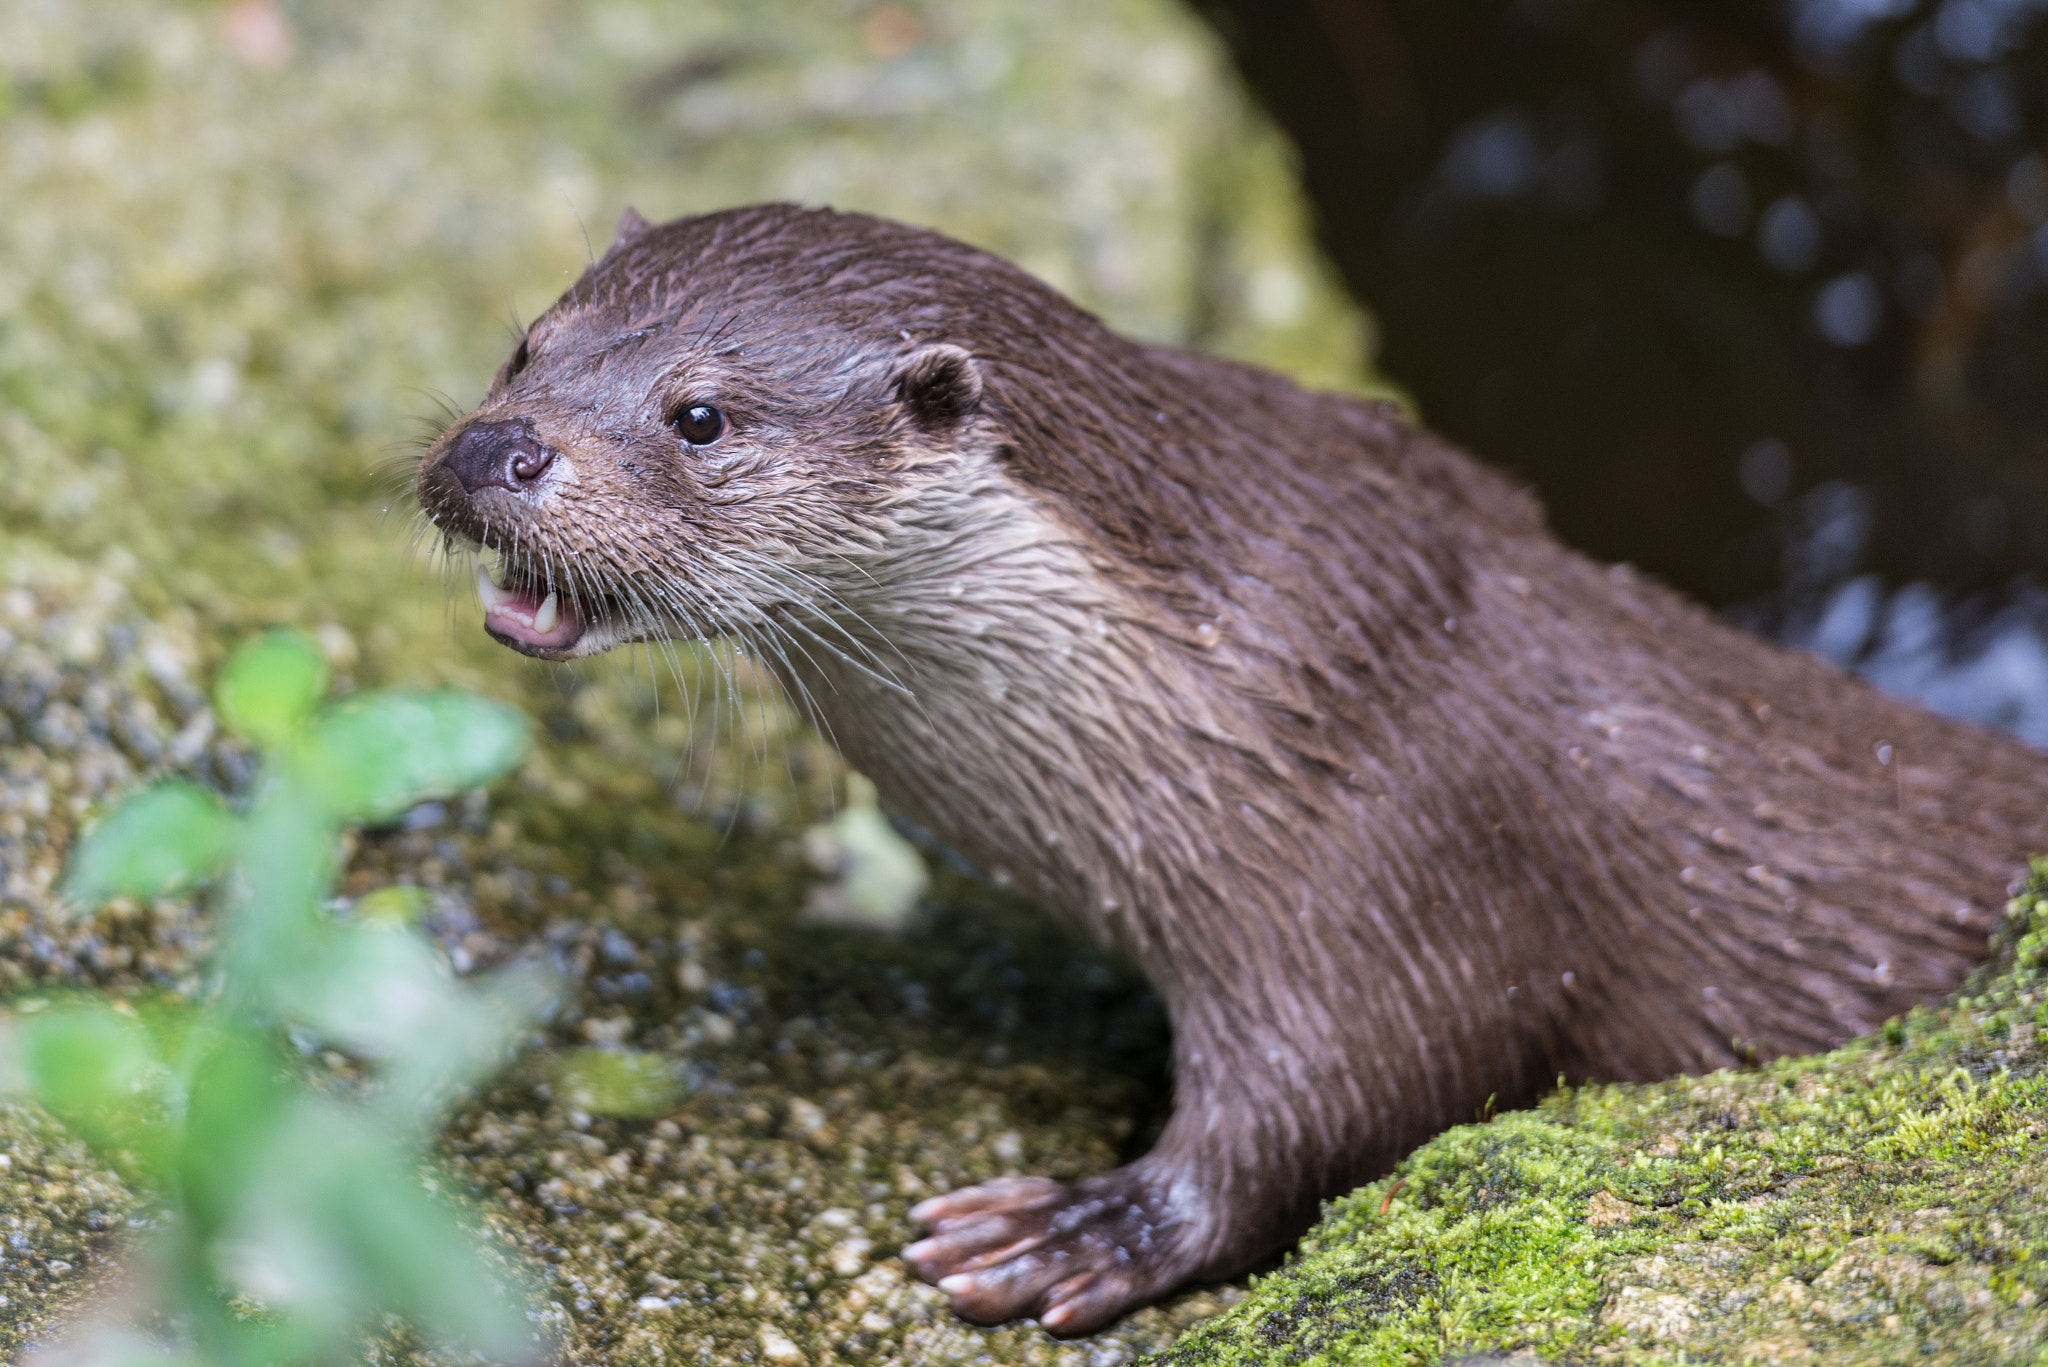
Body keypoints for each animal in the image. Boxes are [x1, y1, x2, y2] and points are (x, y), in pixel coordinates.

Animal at [416, 204, 2048, 1336]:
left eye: (699, 416)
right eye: (526, 346)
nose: (495, 447)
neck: (1232, 668)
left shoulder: (1394, 859)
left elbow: (1351, 1095)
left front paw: (1080, 1228)